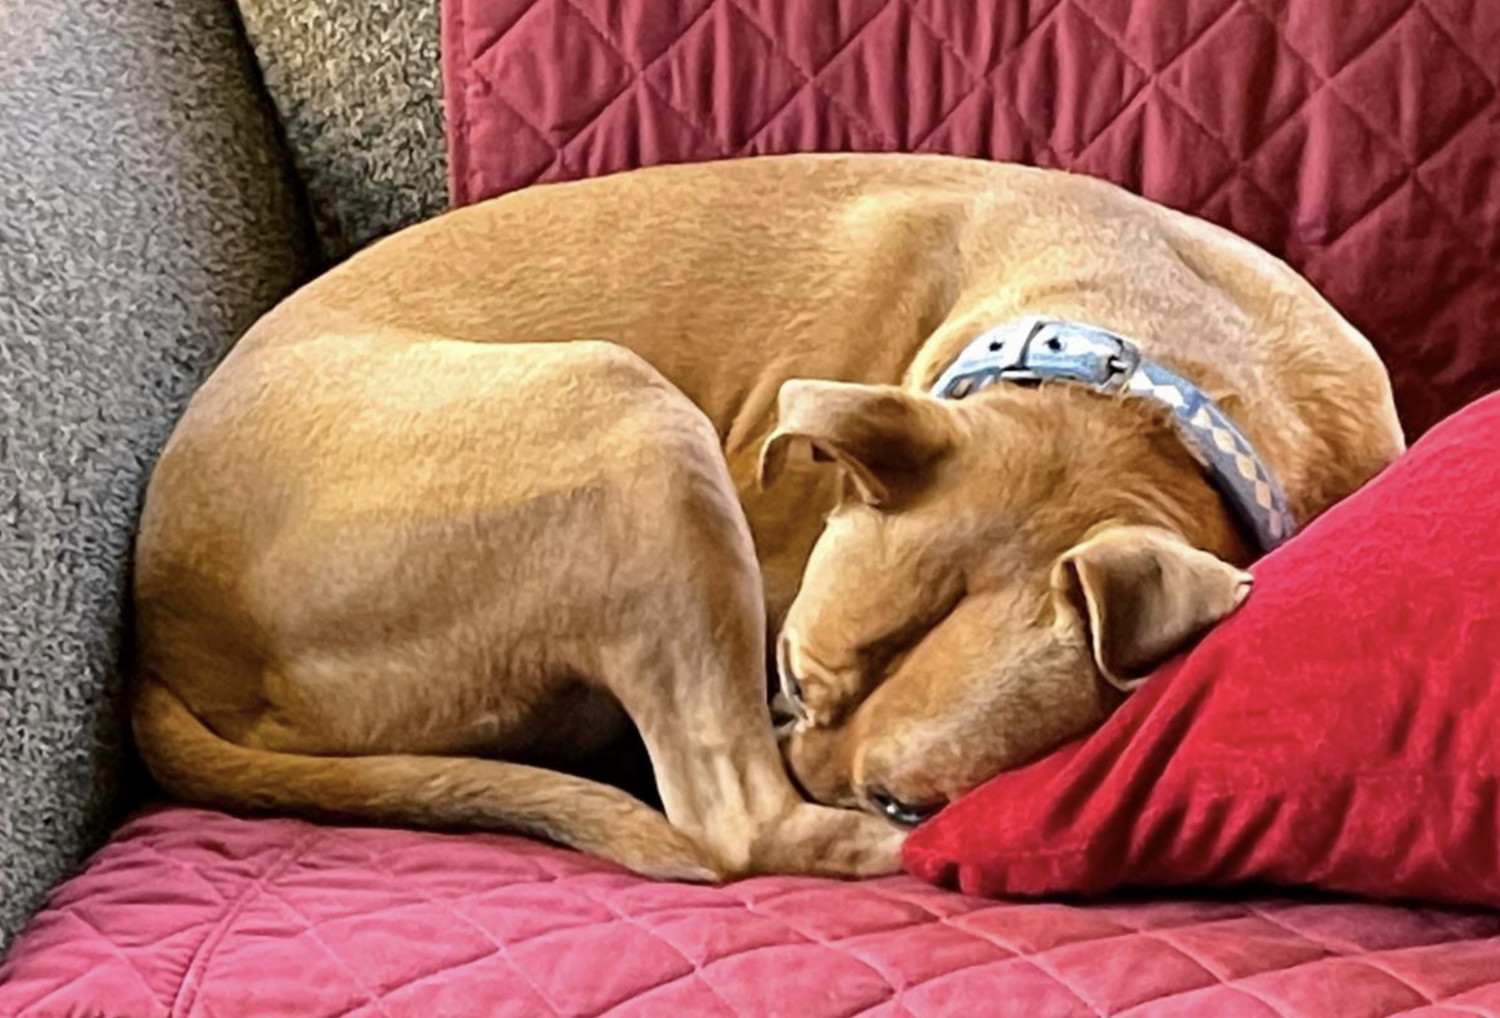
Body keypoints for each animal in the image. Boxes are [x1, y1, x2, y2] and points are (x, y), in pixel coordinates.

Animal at [132, 155, 1404, 881]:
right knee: (734, 821)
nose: (800, 745)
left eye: (900, 786)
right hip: (628, 416)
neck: (1134, 381)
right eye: (788, 671)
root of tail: (163, 635)